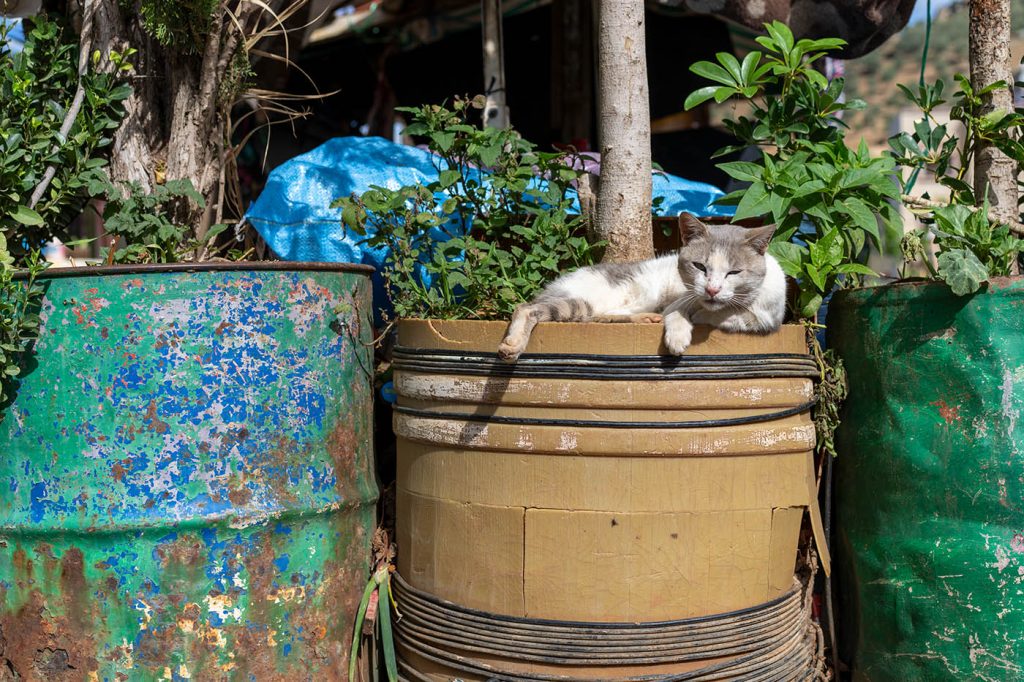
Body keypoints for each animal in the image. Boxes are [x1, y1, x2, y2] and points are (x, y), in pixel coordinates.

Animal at [495, 212, 782, 360]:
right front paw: (679, 335)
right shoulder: (680, 301)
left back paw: (646, 318)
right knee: (525, 308)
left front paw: (707, 314)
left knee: (600, 318)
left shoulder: (768, 318)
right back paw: (513, 345)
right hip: (579, 301)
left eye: (734, 272)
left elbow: (734, 315)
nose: (712, 290)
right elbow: (679, 313)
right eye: (700, 267)